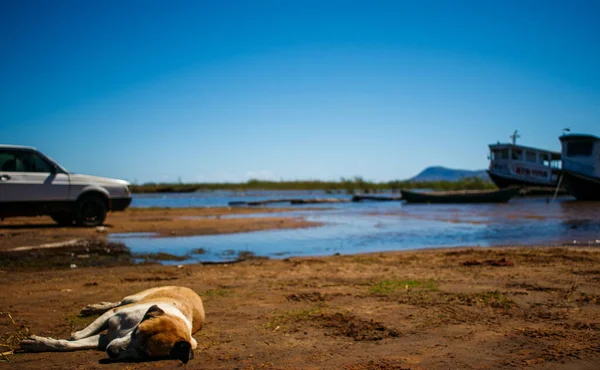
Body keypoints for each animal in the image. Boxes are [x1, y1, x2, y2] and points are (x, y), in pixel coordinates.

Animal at [19, 286, 205, 362]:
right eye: (136, 332)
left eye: (143, 352)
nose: (111, 351)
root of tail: (192, 290)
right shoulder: (111, 316)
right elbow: (76, 337)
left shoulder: (105, 340)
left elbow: (69, 344)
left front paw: (39, 343)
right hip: (133, 298)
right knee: (117, 302)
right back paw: (93, 308)